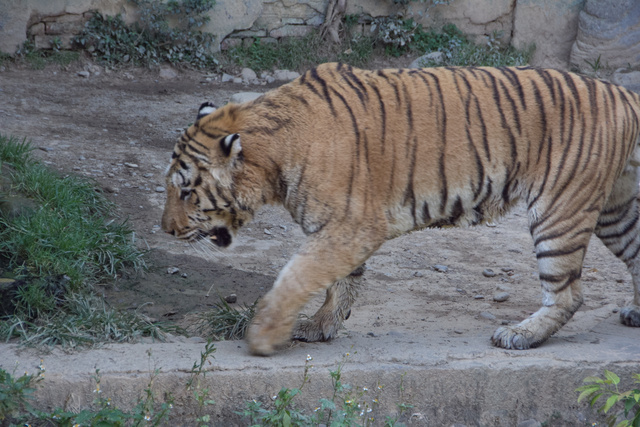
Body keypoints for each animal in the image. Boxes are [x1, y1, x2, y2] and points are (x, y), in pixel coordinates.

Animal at [164, 61, 640, 356]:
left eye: (186, 192)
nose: (166, 229)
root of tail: (623, 92)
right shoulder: (340, 227)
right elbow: (339, 282)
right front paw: (319, 326)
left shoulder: (350, 225)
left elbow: (297, 274)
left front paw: (263, 335)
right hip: (612, 210)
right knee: (636, 254)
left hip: (561, 209)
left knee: (569, 293)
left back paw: (518, 335)